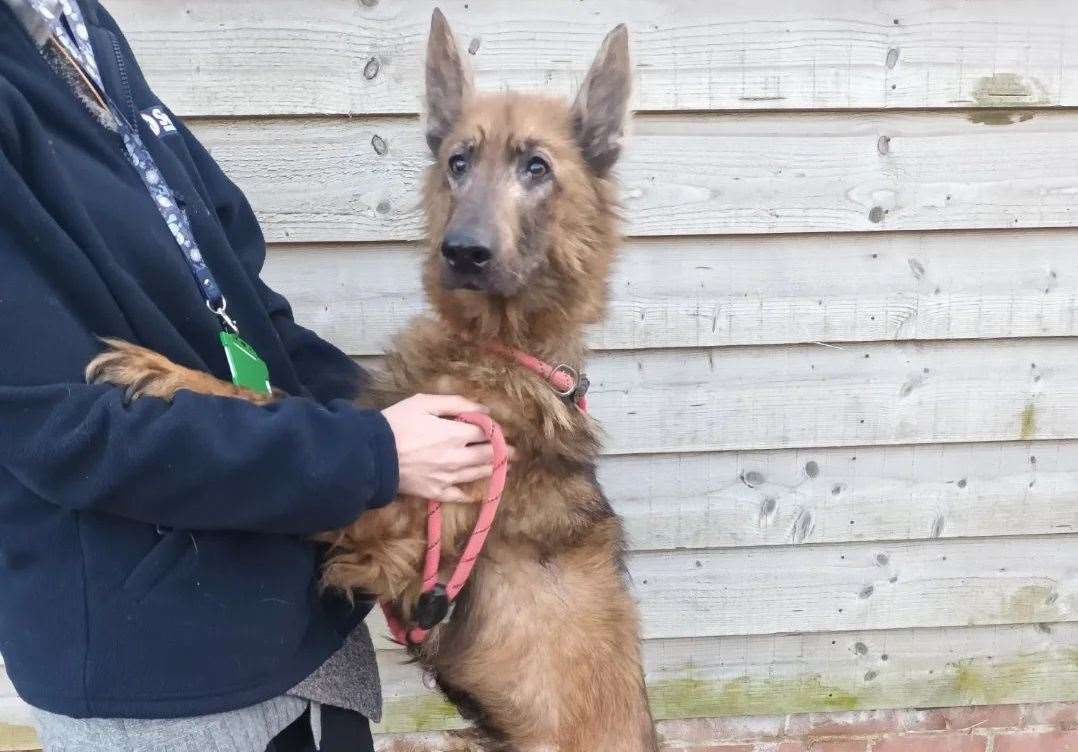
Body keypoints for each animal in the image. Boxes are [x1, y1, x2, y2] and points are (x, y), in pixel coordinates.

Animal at [84, 10, 655, 749]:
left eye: (537, 168)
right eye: (458, 163)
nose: (462, 252)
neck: (495, 349)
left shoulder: (394, 531)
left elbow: (263, 402)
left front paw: (166, 373)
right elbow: (300, 408)